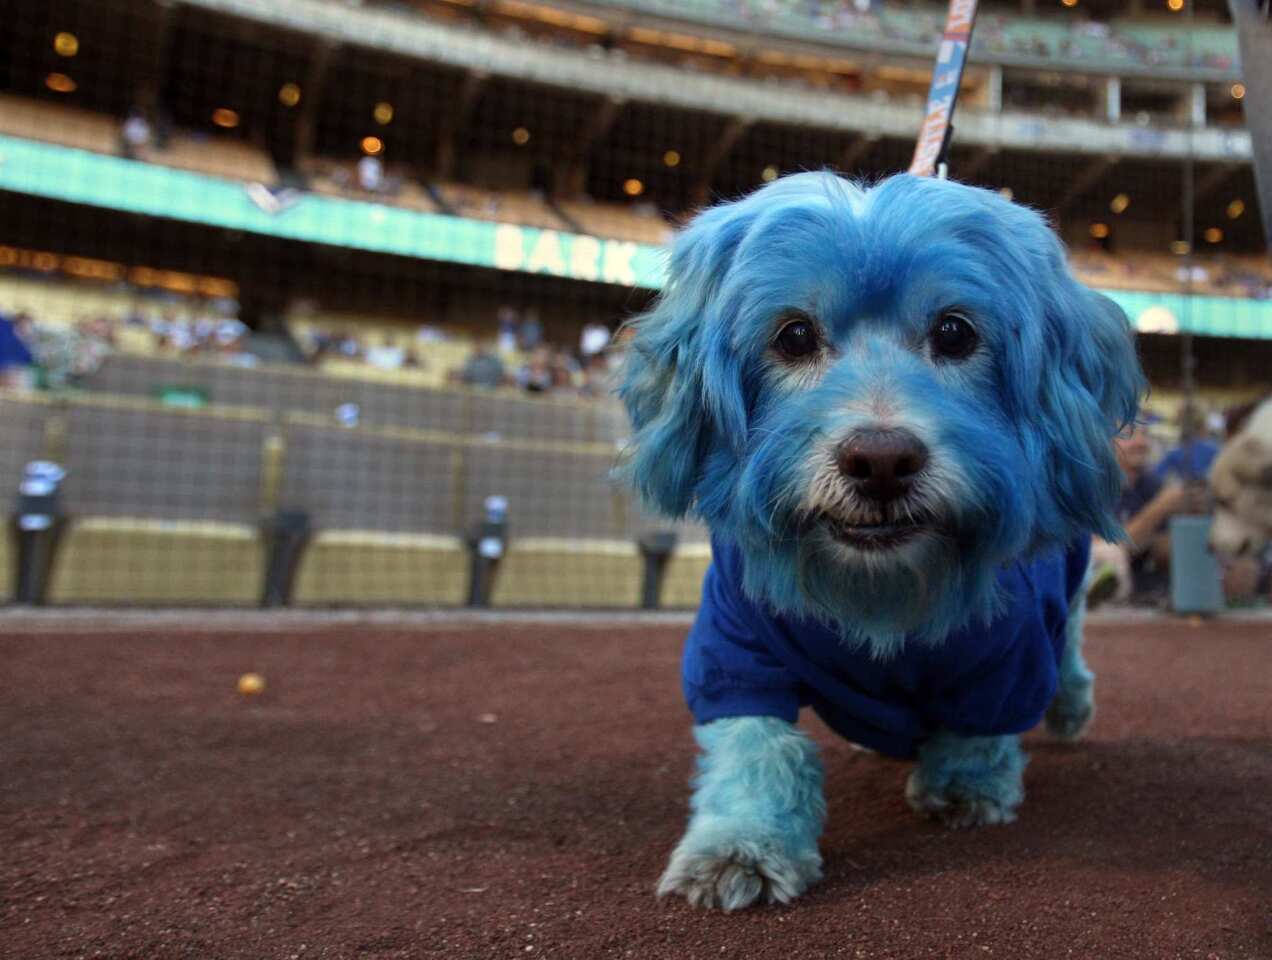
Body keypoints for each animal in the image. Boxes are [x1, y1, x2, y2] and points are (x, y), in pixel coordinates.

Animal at [615, 169, 1144, 910]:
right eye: (794, 336)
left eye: (954, 332)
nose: (881, 460)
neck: (879, 586)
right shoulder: (735, 641)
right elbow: (757, 744)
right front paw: (742, 843)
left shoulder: (1010, 653)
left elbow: (981, 726)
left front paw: (966, 784)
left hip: (1062, 602)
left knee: (1069, 661)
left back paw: (1071, 711)